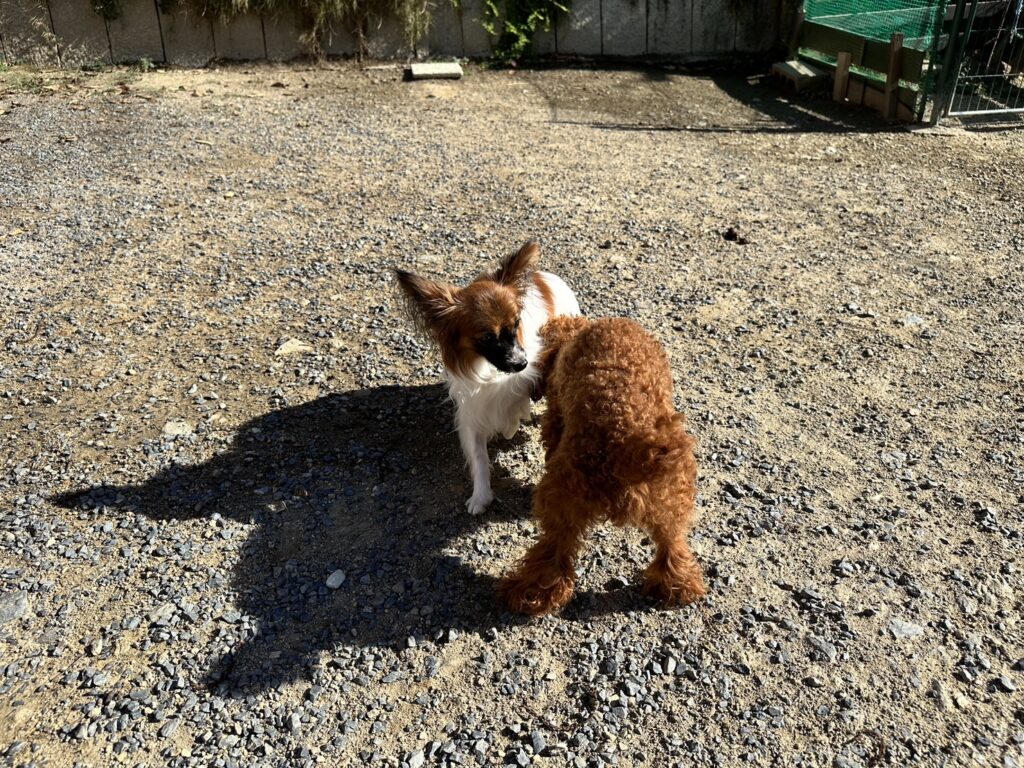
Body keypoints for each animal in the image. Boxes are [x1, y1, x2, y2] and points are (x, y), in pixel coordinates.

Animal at [395, 239, 580, 515]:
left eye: (516, 325)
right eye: (487, 337)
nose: (522, 363)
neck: (490, 370)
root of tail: (544, 276)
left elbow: (515, 407)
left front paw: (510, 426)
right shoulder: (470, 409)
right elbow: (479, 455)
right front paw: (481, 495)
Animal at [497, 315, 706, 614]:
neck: (572, 333)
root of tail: (627, 447)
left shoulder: (556, 414)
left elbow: (551, 434)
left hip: (561, 498)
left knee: (554, 552)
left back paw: (528, 594)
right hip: (671, 500)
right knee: (672, 543)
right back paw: (679, 587)